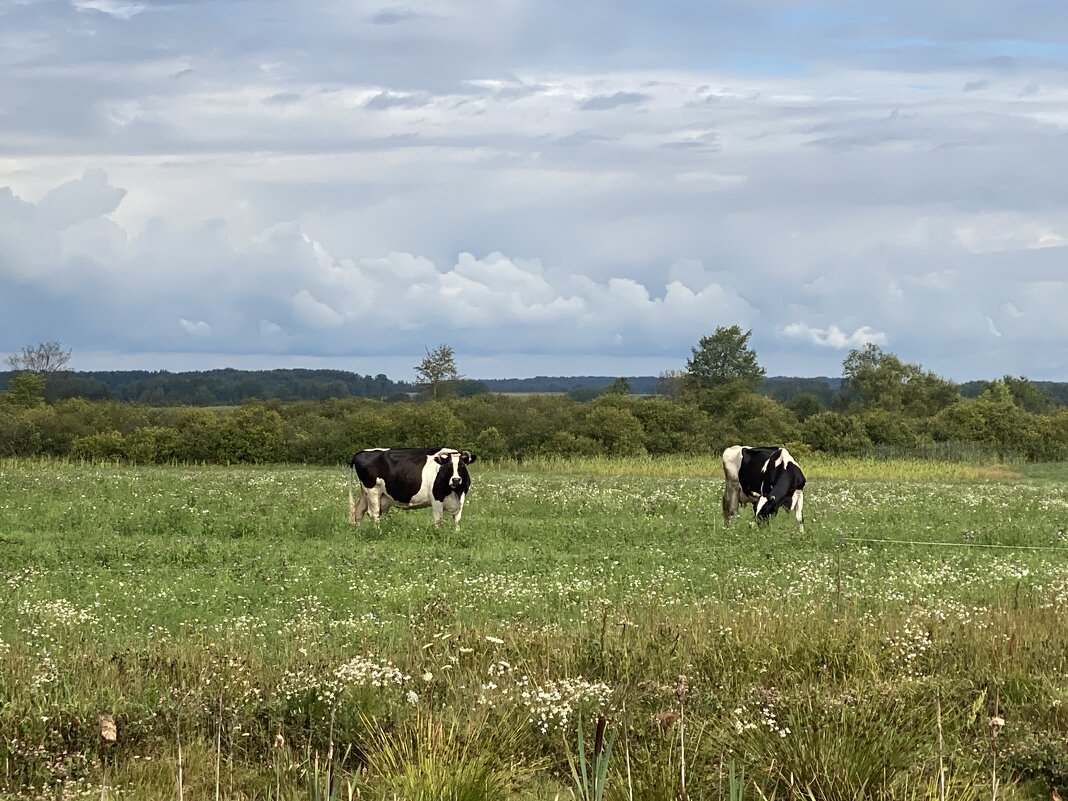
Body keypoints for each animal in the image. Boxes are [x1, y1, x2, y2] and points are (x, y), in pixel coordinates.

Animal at [346, 448, 476, 529]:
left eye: (462, 466)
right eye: (449, 466)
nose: (456, 479)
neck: (455, 492)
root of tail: (360, 452)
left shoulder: (461, 498)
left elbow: (457, 519)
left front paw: (456, 534)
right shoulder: (436, 499)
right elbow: (438, 520)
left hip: (365, 493)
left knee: (359, 511)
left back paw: (359, 531)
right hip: (372, 491)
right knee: (374, 513)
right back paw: (378, 531)